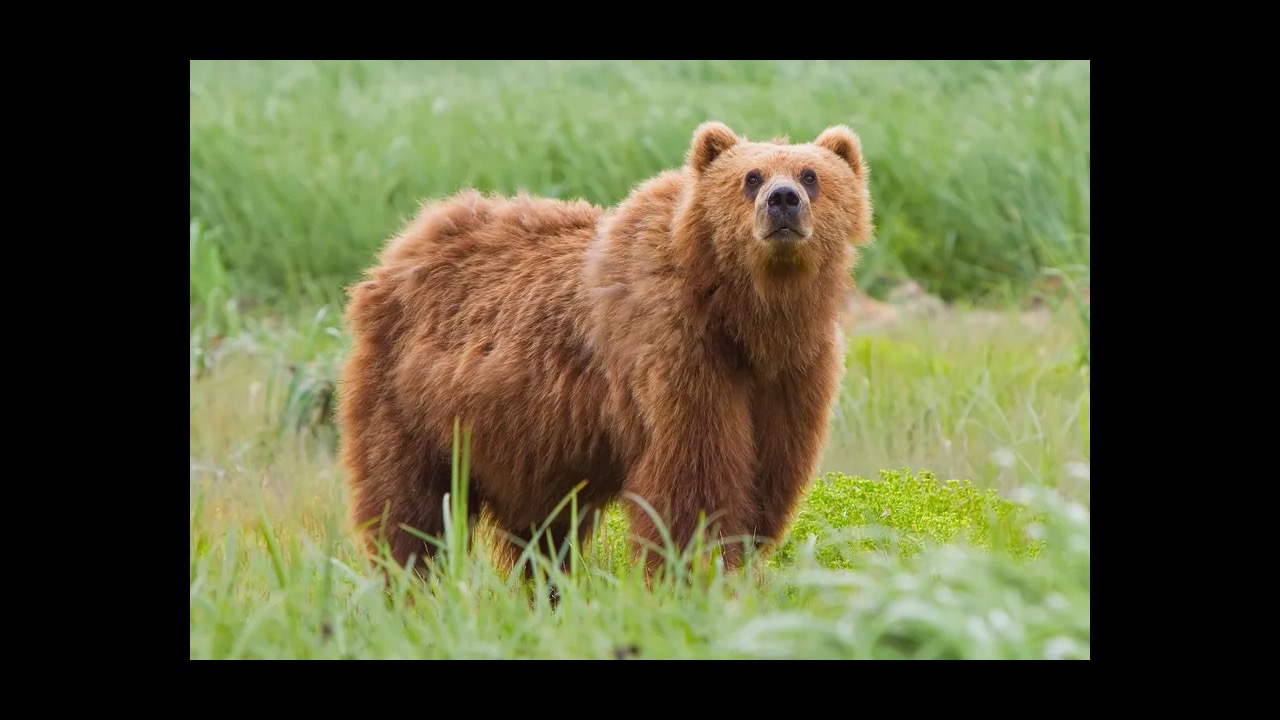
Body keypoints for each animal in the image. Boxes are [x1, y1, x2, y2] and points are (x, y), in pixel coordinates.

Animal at [337, 121, 873, 582]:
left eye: (811, 175)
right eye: (751, 177)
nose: (783, 201)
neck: (747, 319)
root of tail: (403, 245)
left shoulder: (793, 375)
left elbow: (767, 478)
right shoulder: (677, 352)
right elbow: (692, 481)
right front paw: (692, 572)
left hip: (528, 444)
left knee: (543, 533)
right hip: (411, 402)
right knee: (410, 509)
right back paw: (409, 586)